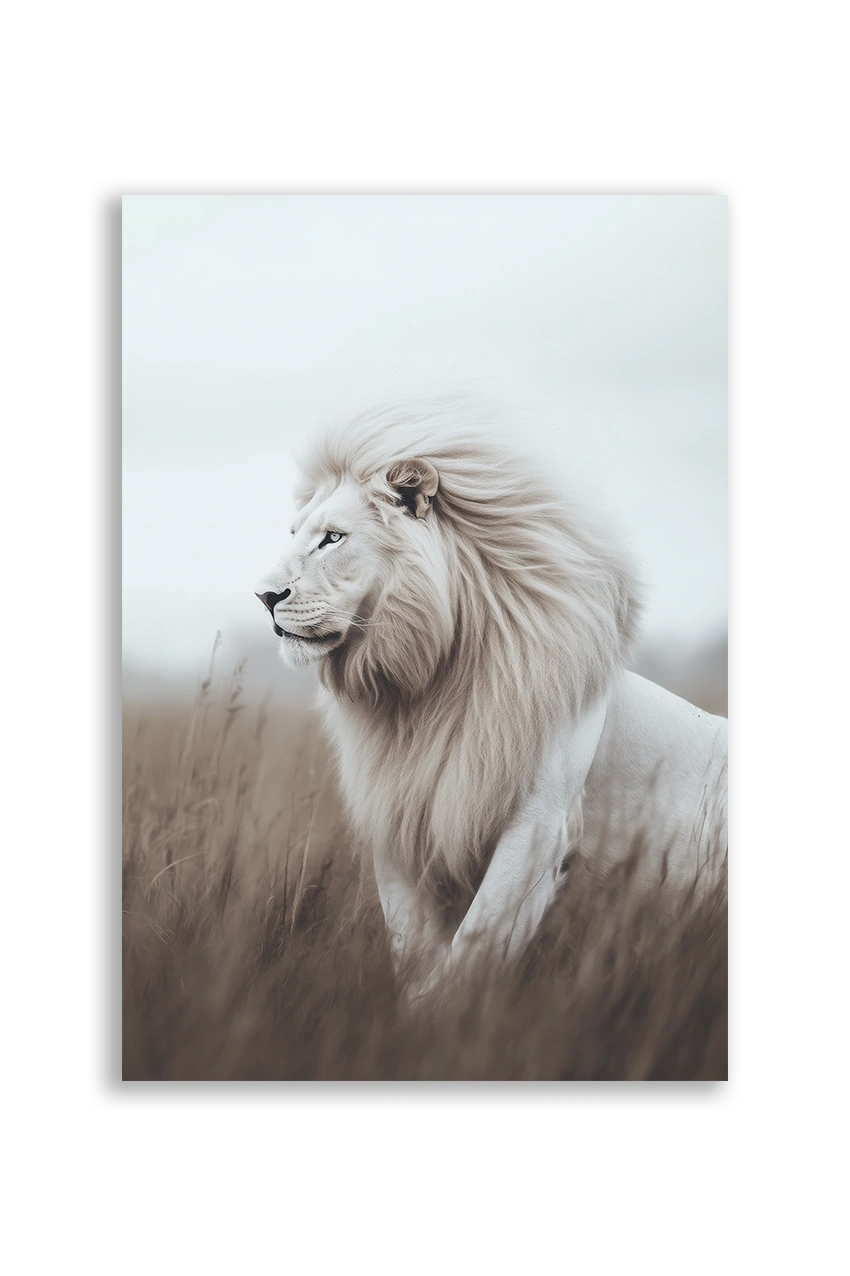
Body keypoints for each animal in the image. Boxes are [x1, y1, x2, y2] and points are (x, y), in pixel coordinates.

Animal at [255, 395, 728, 1004]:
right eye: (295, 532)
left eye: (332, 538)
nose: (265, 597)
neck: (420, 690)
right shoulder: (400, 821)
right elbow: (414, 955)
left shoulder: (540, 828)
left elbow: (470, 954)